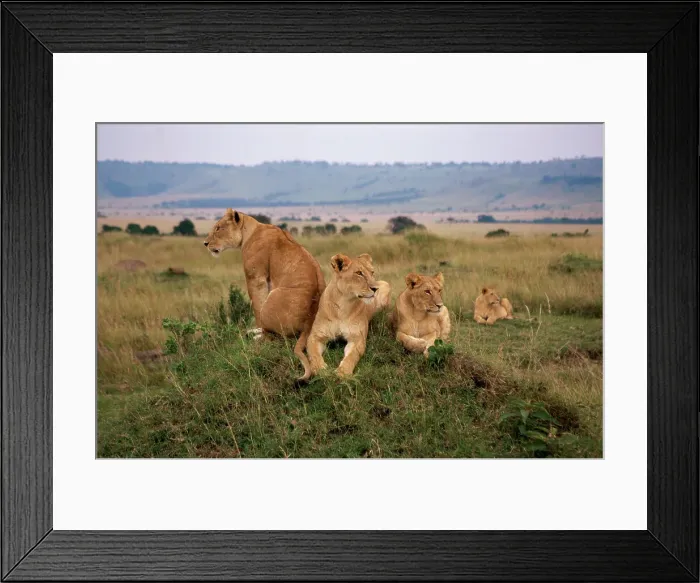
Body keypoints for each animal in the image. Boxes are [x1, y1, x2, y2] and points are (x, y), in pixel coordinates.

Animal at [204, 209, 326, 378]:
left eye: (218, 228)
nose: (205, 243)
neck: (249, 231)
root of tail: (310, 322)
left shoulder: (256, 278)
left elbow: (257, 305)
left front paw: (258, 330)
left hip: (273, 296)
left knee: (276, 338)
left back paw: (257, 335)